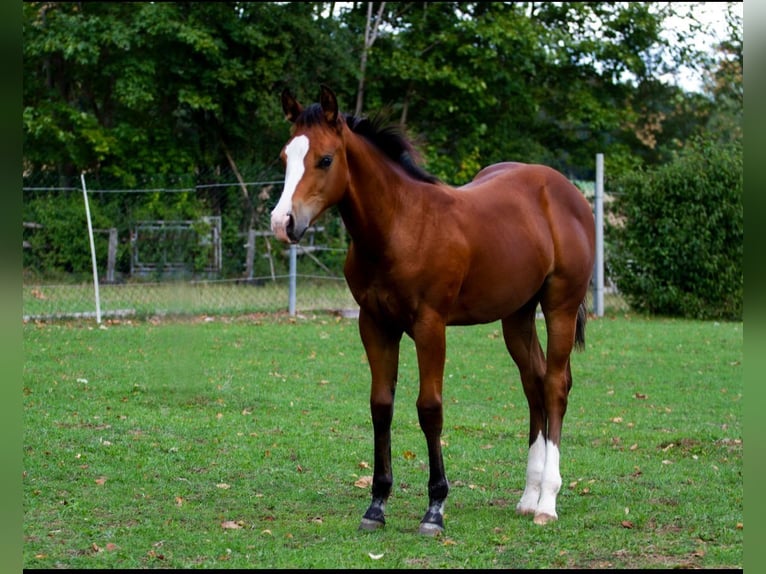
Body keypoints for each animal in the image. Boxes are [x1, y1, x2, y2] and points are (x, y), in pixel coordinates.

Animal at [270, 85, 596, 535]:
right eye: (285, 157)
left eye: (325, 159)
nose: (282, 223)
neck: (400, 225)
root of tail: (568, 192)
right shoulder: (375, 324)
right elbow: (381, 406)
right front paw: (376, 506)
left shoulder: (430, 325)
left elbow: (429, 408)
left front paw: (435, 509)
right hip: (516, 315)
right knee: (533, 384)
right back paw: (528, 497)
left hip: (559, 306)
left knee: (555, 387)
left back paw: (547, 501)